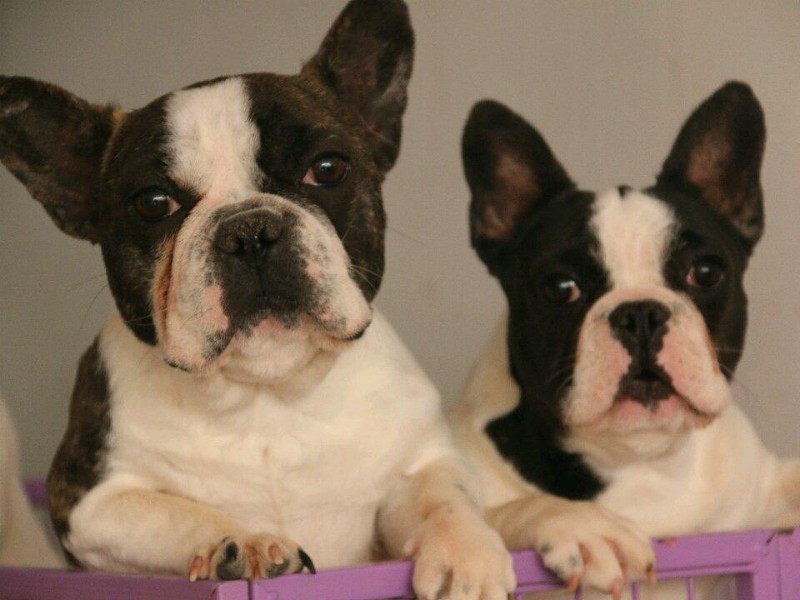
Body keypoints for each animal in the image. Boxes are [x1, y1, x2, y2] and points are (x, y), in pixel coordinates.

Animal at [450, 81, 800, 597]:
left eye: (706, 272)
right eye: (561, 288)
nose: (640, 314)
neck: (642, 459)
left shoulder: (762, 486)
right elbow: (489, 515)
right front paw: (581, 524)